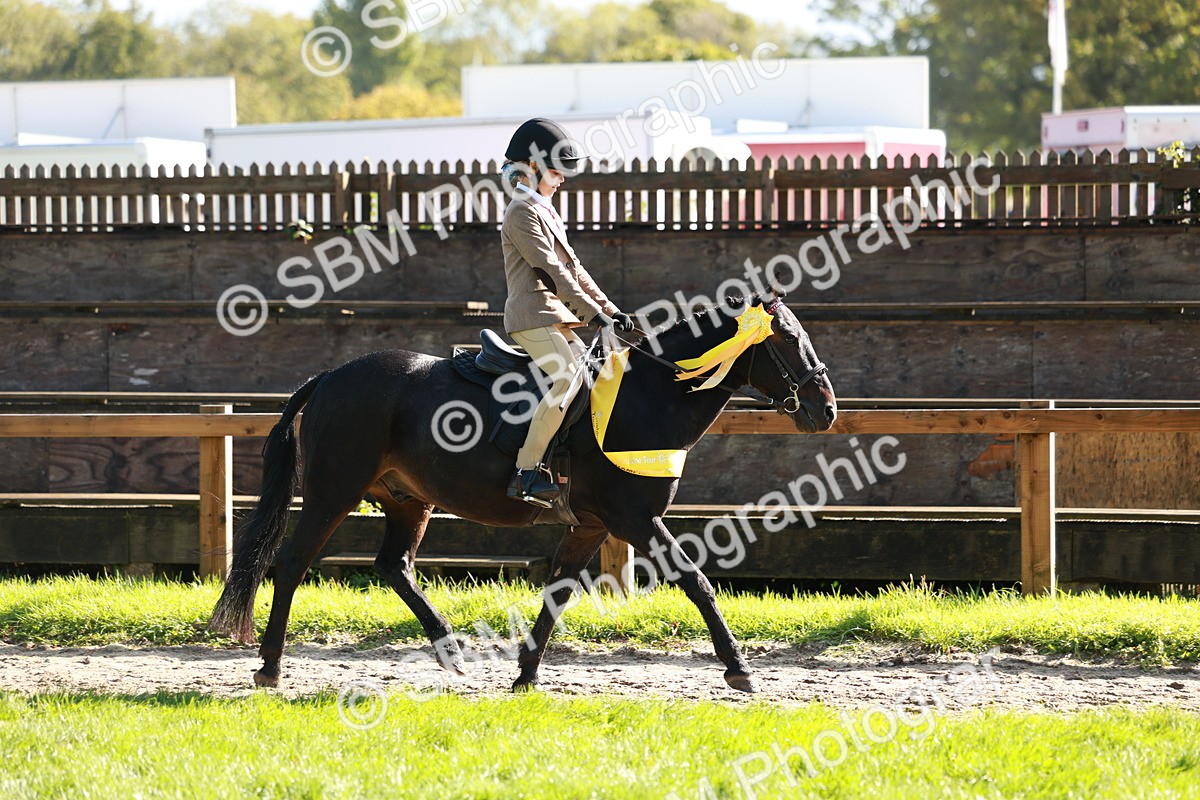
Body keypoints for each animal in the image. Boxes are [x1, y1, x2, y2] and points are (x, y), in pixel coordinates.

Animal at [208, 291, 837, 693]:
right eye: (786, 340)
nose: (825, 410)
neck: (645, 398)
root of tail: (331, 376)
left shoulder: (592, 525)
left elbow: (556, 593)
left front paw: (526, 674)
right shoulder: (634, 519)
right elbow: (697, 581)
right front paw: (739, 667)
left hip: (410, 500)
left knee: (395, 566)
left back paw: (449, 649)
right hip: (332, 494)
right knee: (292, 564)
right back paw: (269, 667)